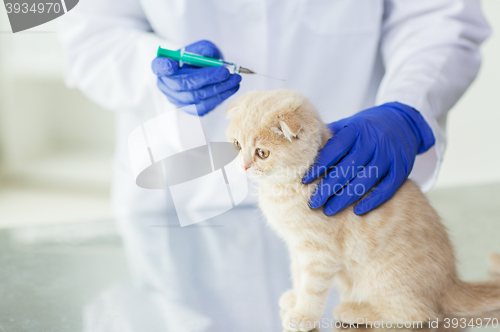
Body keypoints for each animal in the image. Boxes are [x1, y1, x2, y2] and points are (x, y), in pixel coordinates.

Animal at [226, 89, 500, 332]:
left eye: (262, 153)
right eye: (237, 145)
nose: (243, 166)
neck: (284, 187)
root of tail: (450, 283)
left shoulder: (319, 253)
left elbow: (312, 286)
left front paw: (303, 315)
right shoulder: (296, 247)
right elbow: (298, 275)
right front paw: (295, 298)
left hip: (384, 279)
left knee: (419, 314)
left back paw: (353, 310)